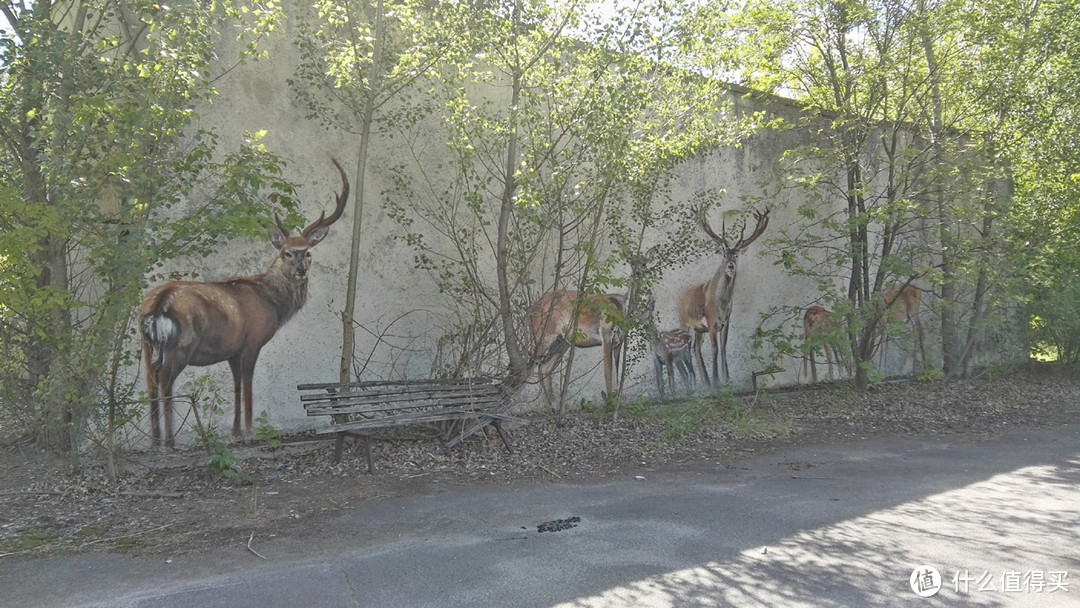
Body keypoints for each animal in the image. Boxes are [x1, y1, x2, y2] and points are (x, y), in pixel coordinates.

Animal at [139, 159, 347, 449]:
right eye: (286, 253)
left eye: (308, 252)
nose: (301, 270)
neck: (273, 302)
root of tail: (159, 302)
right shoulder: (252, 341)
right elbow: (248, 384)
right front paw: (251, 429)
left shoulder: (232, 350)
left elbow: (236, 385)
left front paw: (236, 432)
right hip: (179, 345)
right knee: (165, 380)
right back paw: (169, 440)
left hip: (146, 345)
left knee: (149, 381)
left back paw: (155, 439)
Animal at [527, 247, 652, 408]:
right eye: (631, 261)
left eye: (644, 263)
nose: (638, 273)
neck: (623, 309)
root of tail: (533, 308)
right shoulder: (605, 335)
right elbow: (608, 372)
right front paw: (609, 404)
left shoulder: (618, 341)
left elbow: (616, 373)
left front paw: (616, 400)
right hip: (543, 332)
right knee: (530, 362)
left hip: (562, 341)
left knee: (544, 366)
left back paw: (553, 405)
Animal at [673, 209, 768, 390]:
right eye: (725, 254)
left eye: (736, 255)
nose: (731, 265)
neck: (722, 305)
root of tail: (680, 297)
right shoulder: (711, 321)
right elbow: (715, 348)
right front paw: (717, 381)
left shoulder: (726, 321)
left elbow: (723, 348)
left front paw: (727, 380)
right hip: (684, 321)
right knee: (686, 349)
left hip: (699, 329)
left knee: (696, 348)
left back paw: (705, 382)